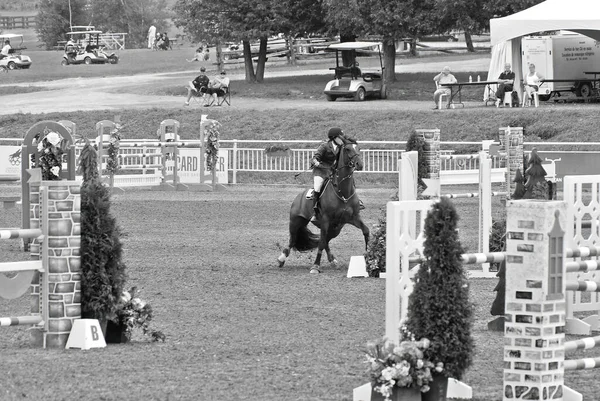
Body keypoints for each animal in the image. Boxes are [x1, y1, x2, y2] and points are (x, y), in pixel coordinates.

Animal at [278, 139, 370, 274]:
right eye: (348, 149)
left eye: (359, 148)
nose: (360, 164)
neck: (343, 191)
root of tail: (299, 196)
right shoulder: (326, 219)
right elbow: (320, 243)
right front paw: (315, 266)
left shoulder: (353, 218)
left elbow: (366, 231)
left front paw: (368, 257)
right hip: (296, 222)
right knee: (293, 240)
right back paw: (281, 259)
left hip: (335, 228)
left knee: (325, 240)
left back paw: (333, 261)